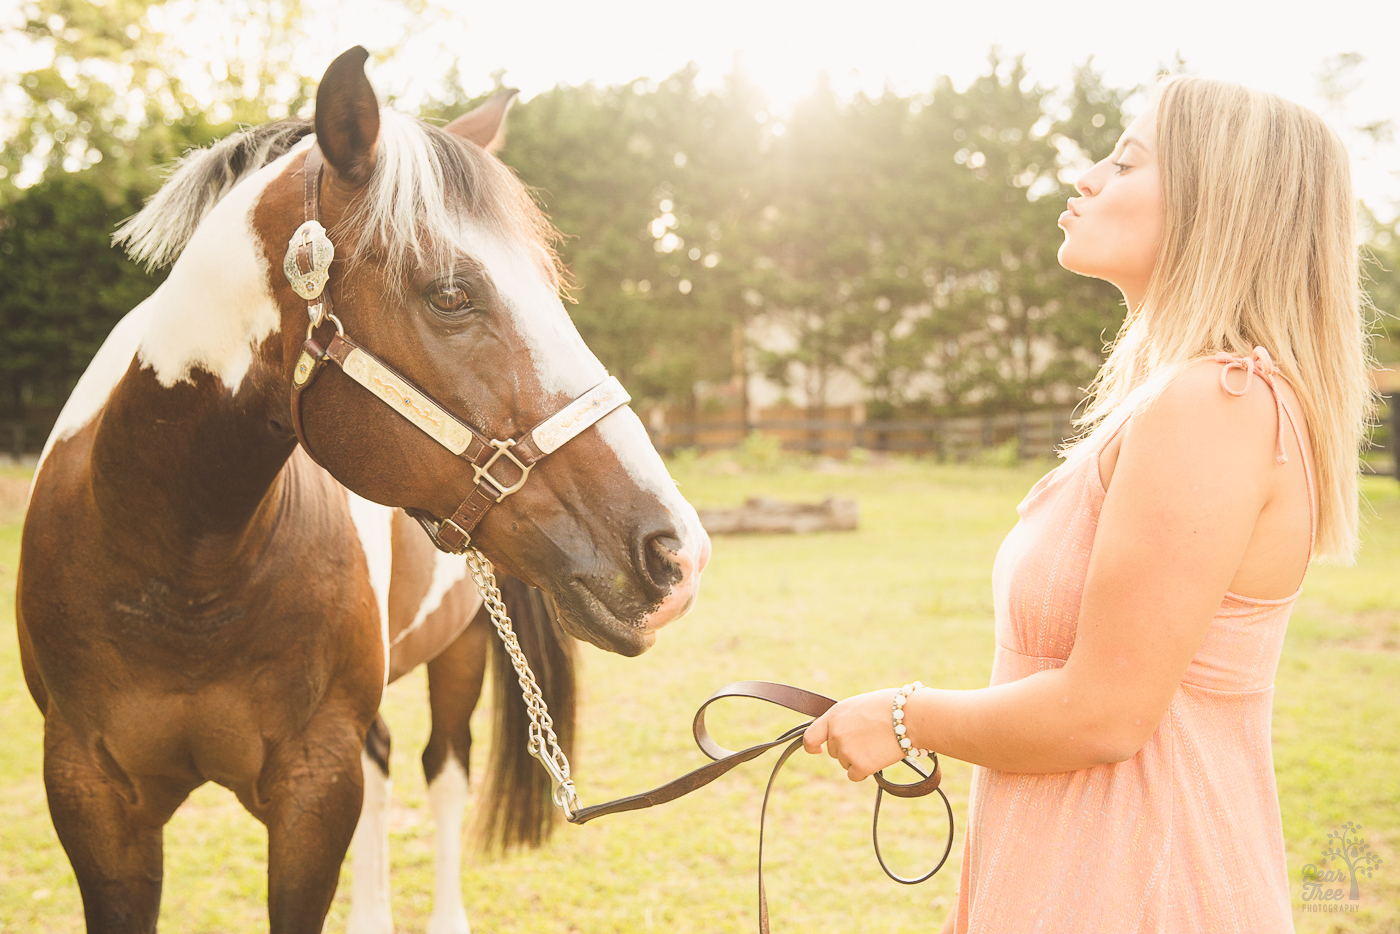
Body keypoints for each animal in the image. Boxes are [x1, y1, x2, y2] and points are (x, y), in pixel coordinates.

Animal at [15, 45, 705, 934]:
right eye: (450, 294)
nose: (677, 555)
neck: (178, 570)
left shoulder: (314, 789)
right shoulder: (91, 797)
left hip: (461, 649)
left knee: (443, 769)